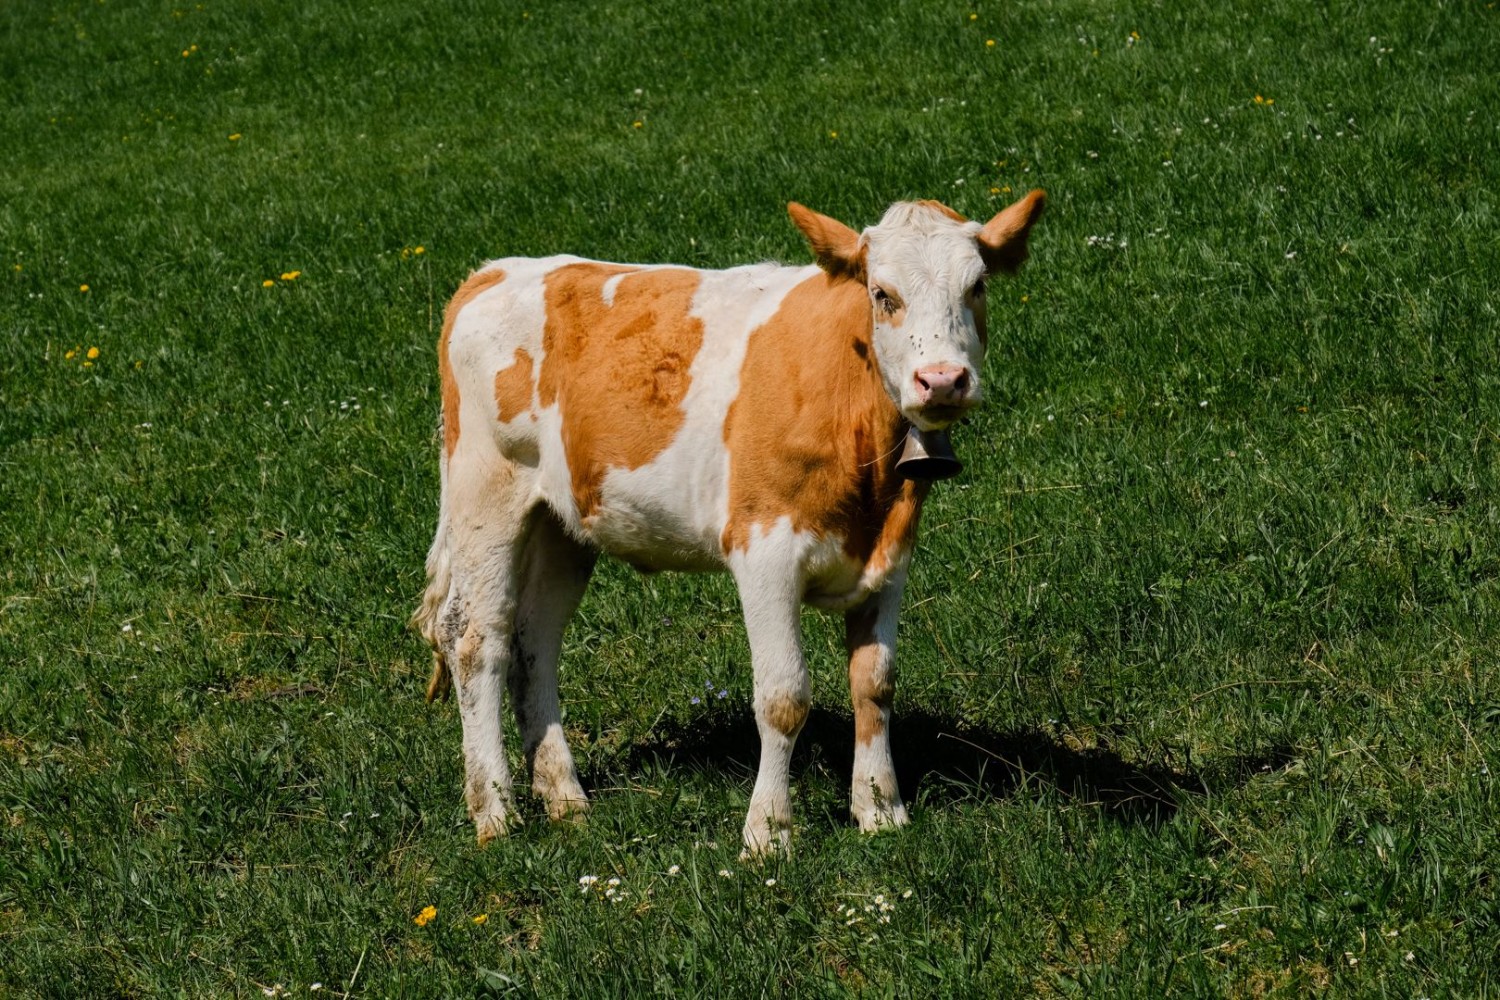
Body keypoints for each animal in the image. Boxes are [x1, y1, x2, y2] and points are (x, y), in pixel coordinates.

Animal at [411, 191, 1044, 857]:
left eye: (977, 286)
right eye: (882, 294)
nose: (942, 381)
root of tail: (493, 272)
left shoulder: (890, 558)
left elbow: (875, 682)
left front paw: (879, 810)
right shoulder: (763, 549)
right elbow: (784, 696)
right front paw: (768, 833)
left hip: (565, 522)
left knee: (537, 638)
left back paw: (566, 798)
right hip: (485, 489)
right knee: (475, 638)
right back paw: (496, 812)